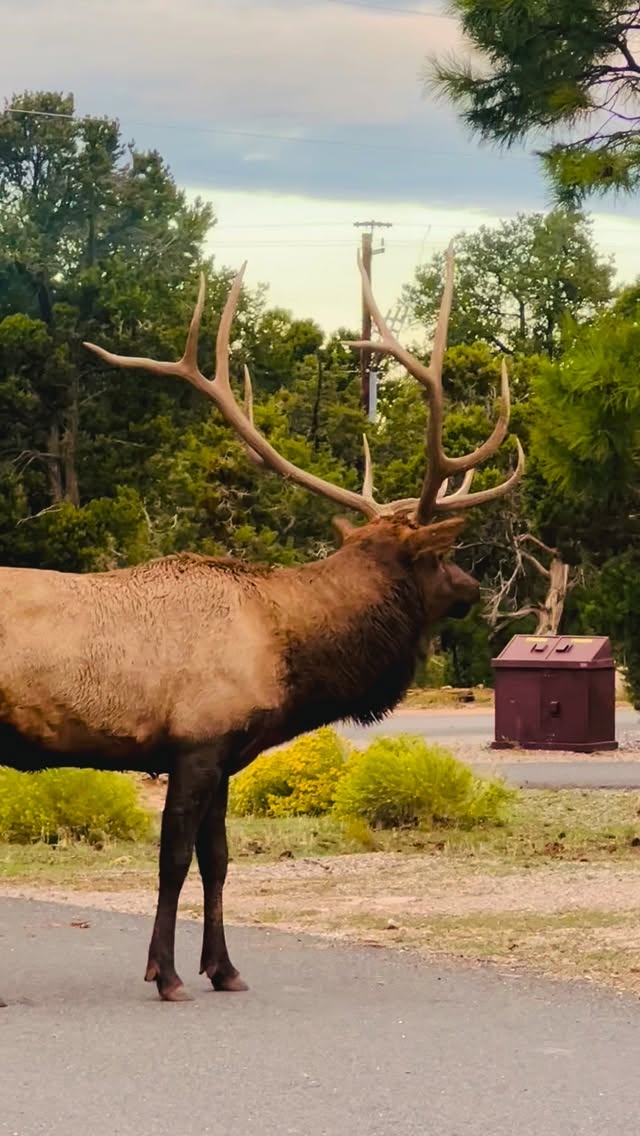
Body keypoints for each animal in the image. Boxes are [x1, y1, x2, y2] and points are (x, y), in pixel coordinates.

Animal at [0, 247, 523, 1005]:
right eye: (437, 557)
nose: (471, 588)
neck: (287, 653)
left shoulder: (225, 752)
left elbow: (218, 860)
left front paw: (224, 968)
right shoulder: (196, 741)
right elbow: (174, 860)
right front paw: (166, 975)